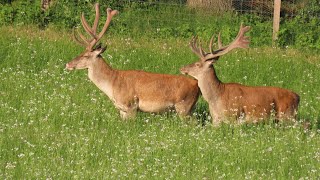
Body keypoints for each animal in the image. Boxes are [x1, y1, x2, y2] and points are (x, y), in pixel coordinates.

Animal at [65, 3, 200, 119]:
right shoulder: (122, 109)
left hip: (184, 107)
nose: (68, 64)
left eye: (86, 55)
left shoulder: (131, 105)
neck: (112, 84)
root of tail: (196, 84)